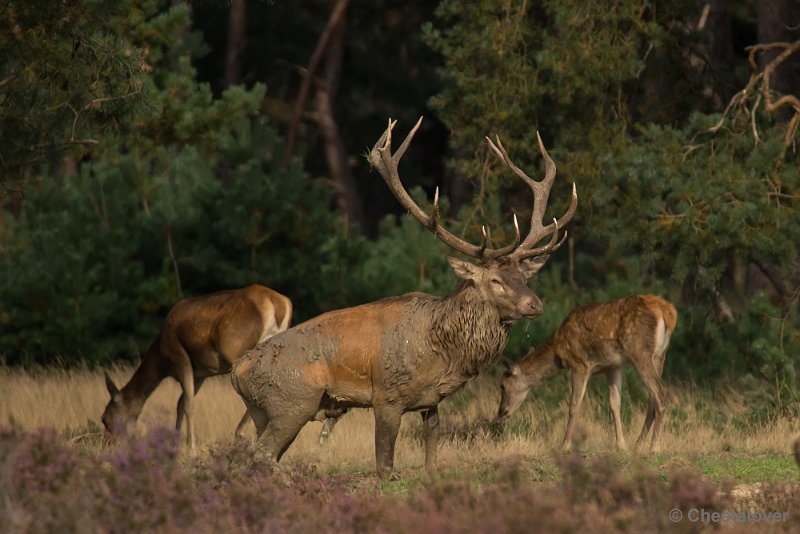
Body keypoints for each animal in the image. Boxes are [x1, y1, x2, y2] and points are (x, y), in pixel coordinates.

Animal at [101, 284, 292, 452]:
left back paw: (240, 433)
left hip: (238, 349)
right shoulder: (201, 373)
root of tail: (279, 304)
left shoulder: (181, 359)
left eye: (106, 419)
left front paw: (190, 447)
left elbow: (188, 405)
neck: (162, 359)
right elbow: (180, 403)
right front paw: (175, 443)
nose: (107, 445)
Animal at [230, 119, 576, 484]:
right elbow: (385, 464)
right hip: (293, 399)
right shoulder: (387, 393)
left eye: (525, 278)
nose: (535, 305)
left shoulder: (432, 401)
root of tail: (237, 370)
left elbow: (432, 448)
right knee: (263, 453)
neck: (444, 354)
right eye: (495, 280)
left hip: (262, 411)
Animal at [496, 296, 680, 454]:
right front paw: (621, 445)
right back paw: (638, 444)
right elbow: (615, 404)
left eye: (503, 385)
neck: (558, 351)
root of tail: (667, 313)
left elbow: (574, 404)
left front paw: (565, 444)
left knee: (660, 391)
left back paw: (654, 446)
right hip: (660, 355)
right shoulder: (613, 366)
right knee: (652, 399)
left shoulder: (579, 364)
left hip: (639, 351)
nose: (501, 413)